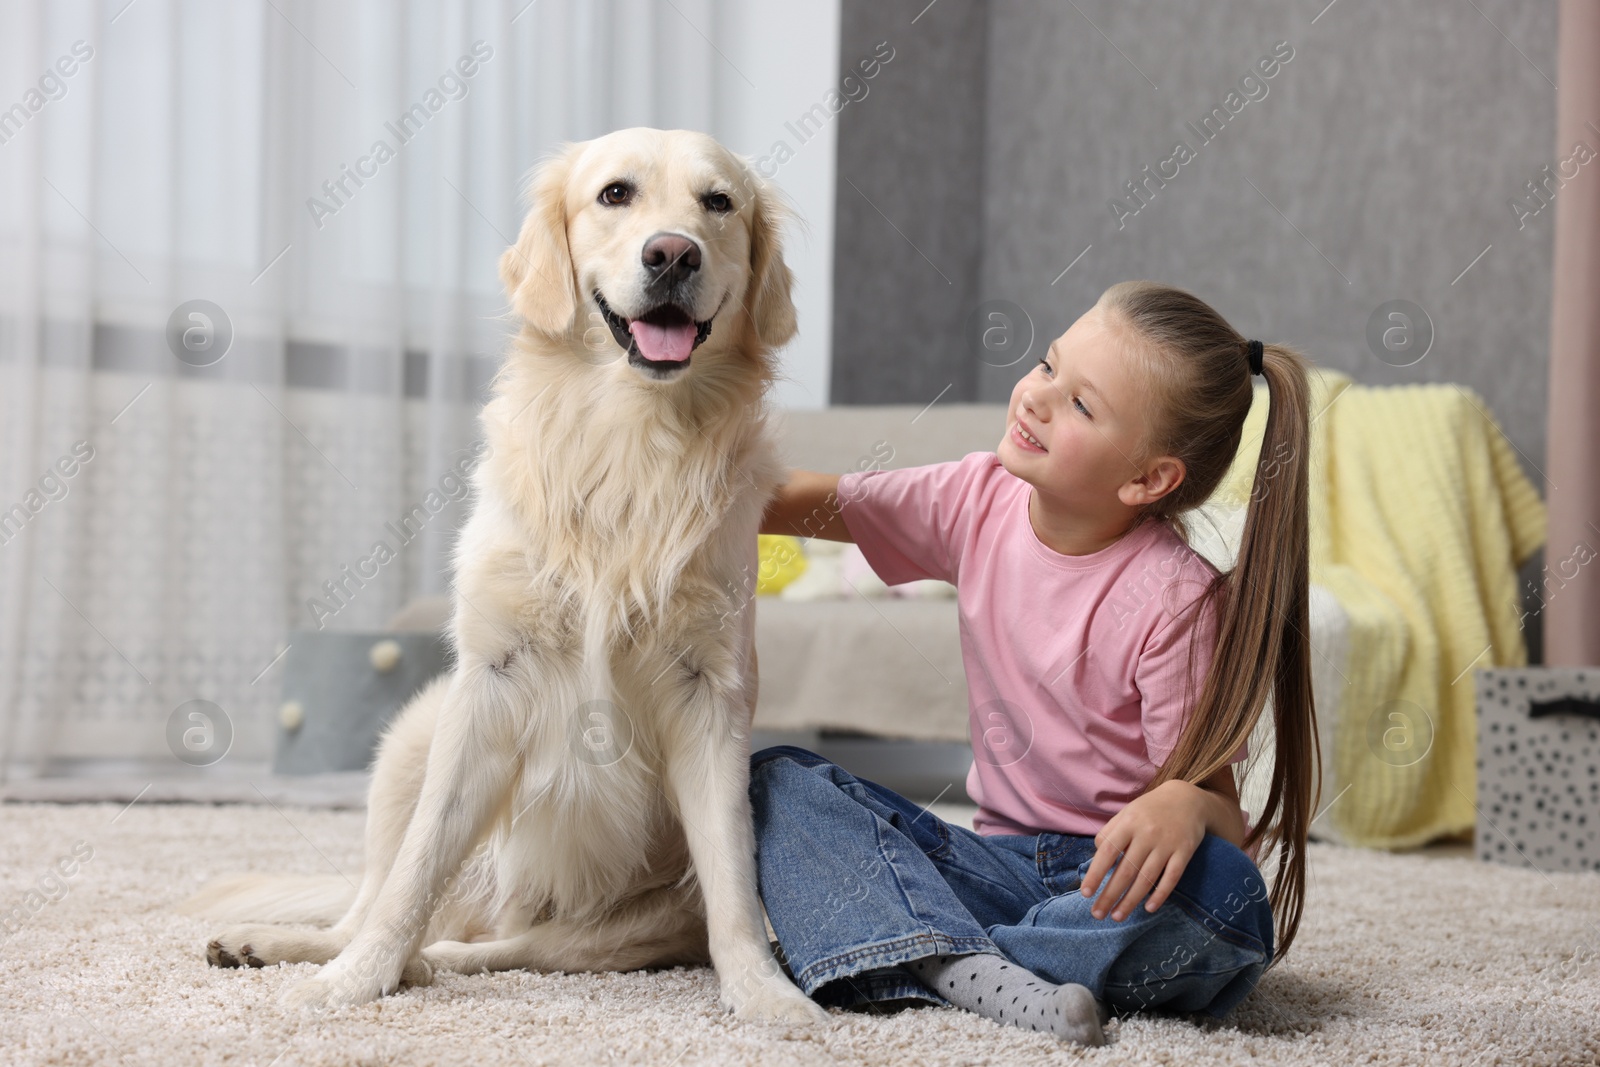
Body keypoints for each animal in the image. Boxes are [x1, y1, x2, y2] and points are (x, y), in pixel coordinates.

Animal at [185, 129, 832, 1030]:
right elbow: (414, 874)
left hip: (625, 919)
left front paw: (766, 995)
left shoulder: (711, 695)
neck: (631, 440)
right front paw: (352, 981)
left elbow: (735, 885)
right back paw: (288, 946)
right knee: (372, 904)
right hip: (412, 737)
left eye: (719, 203)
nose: (673, 254)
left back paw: (428, 961)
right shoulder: (490, 679)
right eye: (615, 194)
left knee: (503, 947)